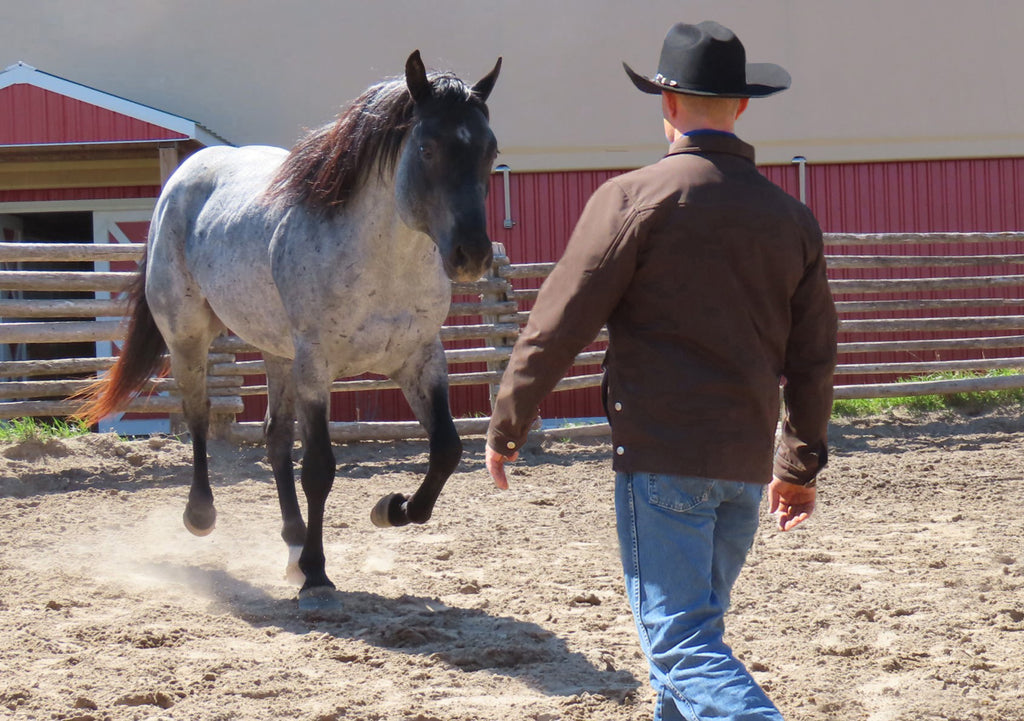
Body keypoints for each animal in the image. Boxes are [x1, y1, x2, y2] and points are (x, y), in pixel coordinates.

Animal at [78, 50, 501, 611]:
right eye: (428, 147)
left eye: (490, 150)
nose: (471, 254)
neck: (381, 260)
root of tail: (181, 179)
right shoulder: (315, 366)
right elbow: (319, 467)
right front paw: (319, 573)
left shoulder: (420, 359)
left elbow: (447, 449)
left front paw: (391, 508)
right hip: (189, 335)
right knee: (198, 415)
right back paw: (203, 517)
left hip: (277, 353)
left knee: (274, 438)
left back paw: (294, 543)